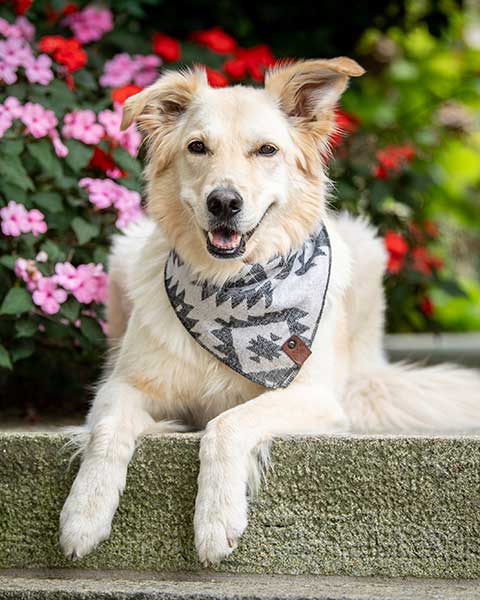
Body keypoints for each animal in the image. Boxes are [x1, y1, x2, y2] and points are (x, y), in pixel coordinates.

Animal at [59, 58, 480, 565]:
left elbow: (225, 423)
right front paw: (83, 514)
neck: (229, 288)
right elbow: (105, 431)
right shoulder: (124, 385)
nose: (223, 202)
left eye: (266, 150)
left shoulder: (315, 398)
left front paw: (216, 520)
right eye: (197, 147)